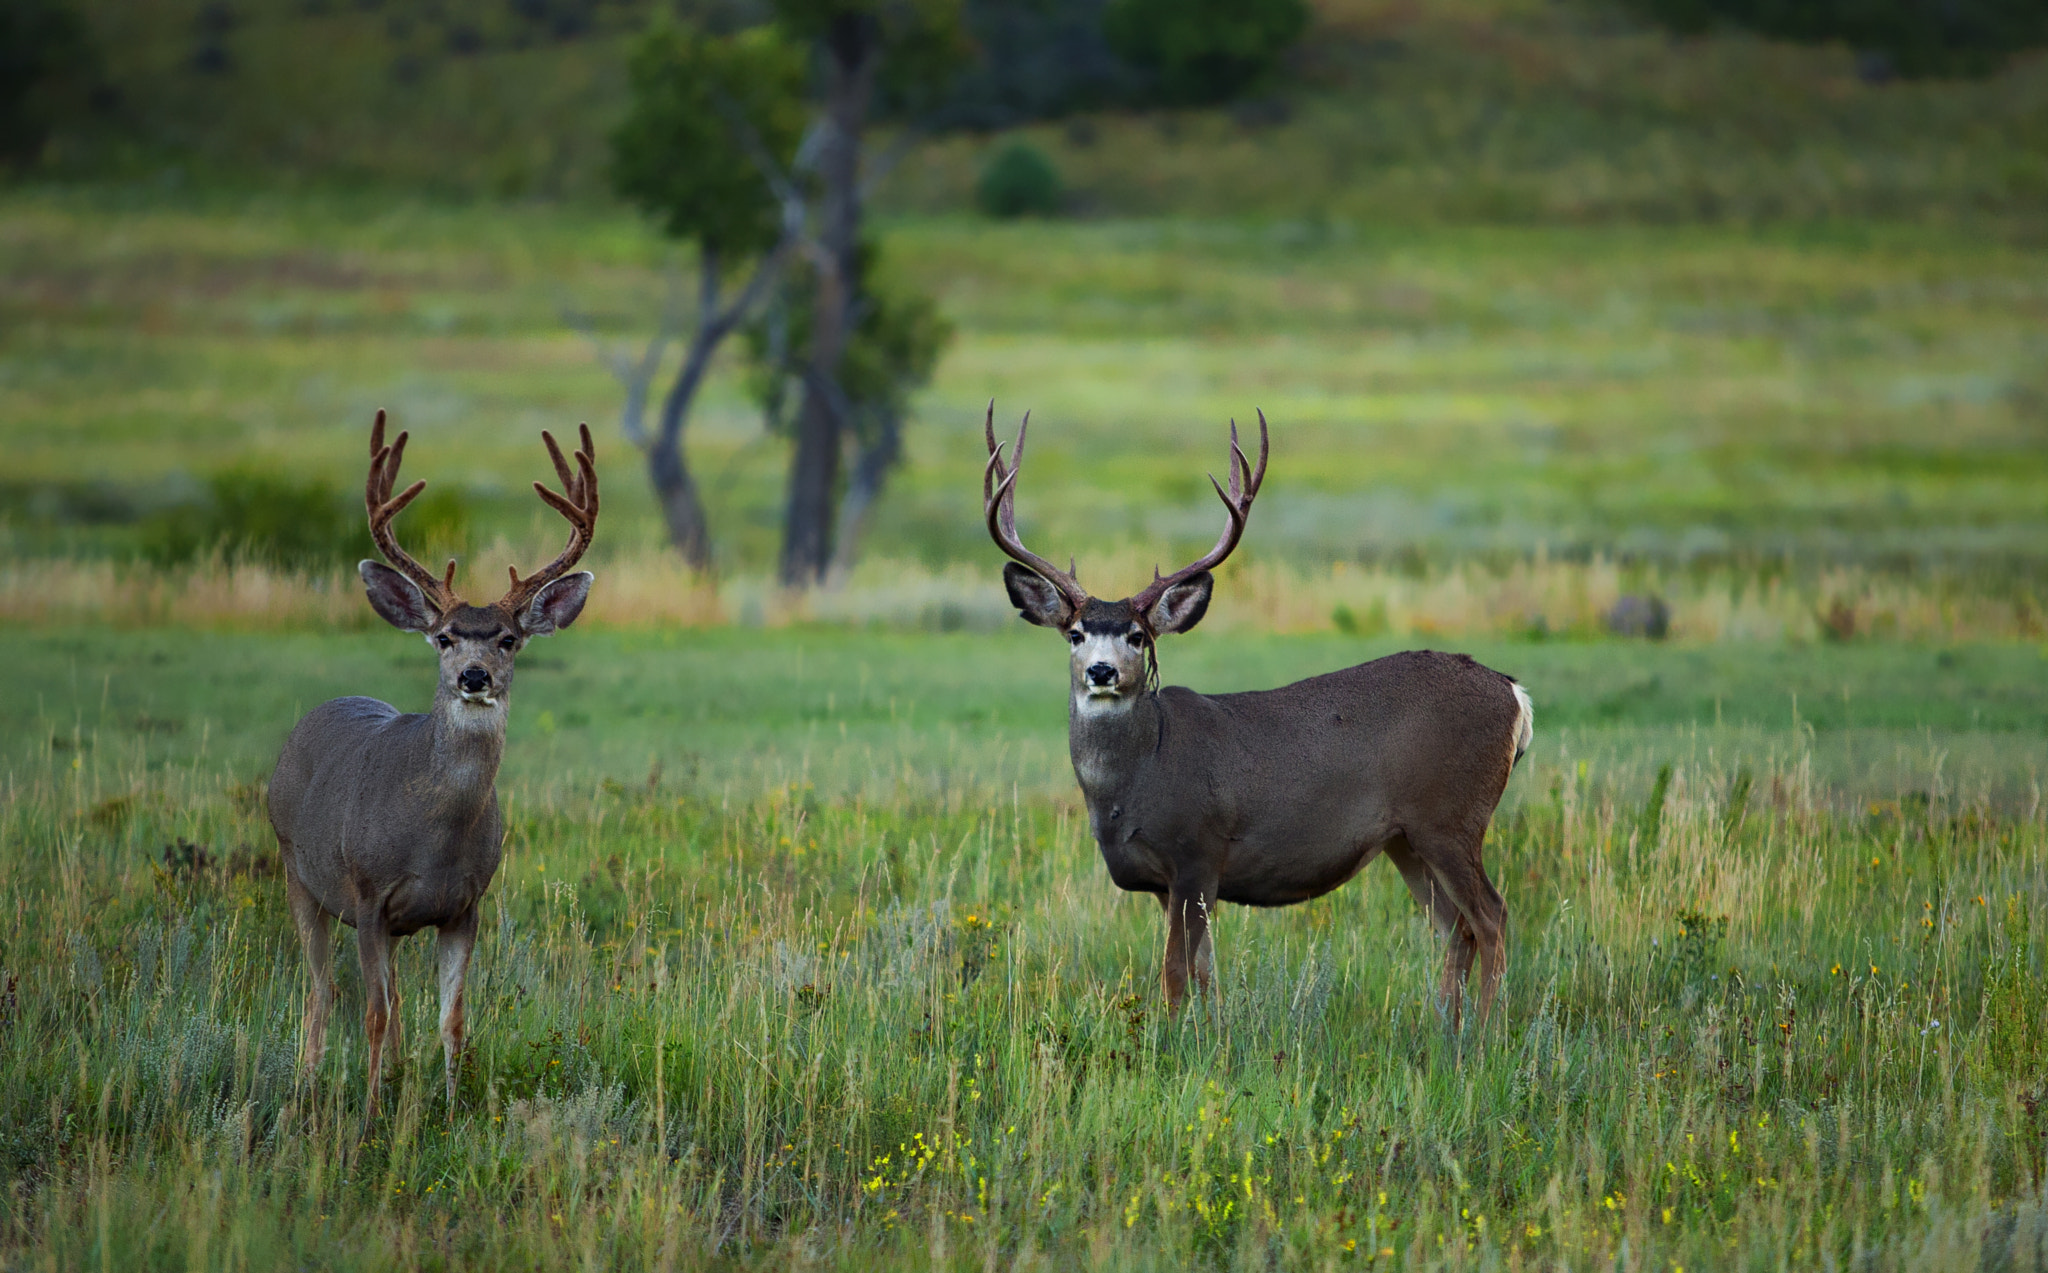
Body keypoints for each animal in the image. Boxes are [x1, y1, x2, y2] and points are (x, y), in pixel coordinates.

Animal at [268, 413, 598, 1121]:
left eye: (508, 639)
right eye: (445, 636)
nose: (474, 674)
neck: (434, 837)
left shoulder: (465, 904)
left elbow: (451, 1018)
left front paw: (448, 1109)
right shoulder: (367, 895)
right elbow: (372, 1013)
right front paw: (369, 1117)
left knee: (388, 998)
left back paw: (393, 1078)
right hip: (298, 874)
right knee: (322, 993)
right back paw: (310, 1088)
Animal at [987, 409, 1540, 1039]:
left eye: (1137, 636)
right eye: (1076, 634)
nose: (1101, 671)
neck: (1135, 782)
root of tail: (1514, 694)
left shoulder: (1197, 852)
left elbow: (1175, 974)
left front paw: (1171, 1043)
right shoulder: (1168, 882)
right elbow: (1206, 972)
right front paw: (1211, 1038)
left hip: (1452, 817)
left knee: (1491, 916)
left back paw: (1486, 1034)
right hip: (1407, 839)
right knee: (1455, 927)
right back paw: (1444, 1030)